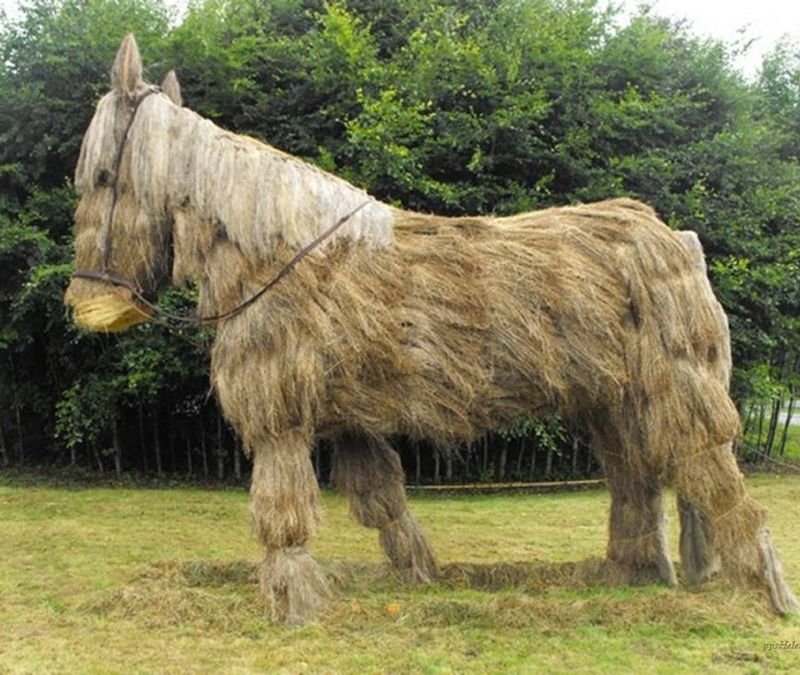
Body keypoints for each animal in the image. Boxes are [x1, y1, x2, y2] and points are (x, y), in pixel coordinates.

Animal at [65, 35, 797, 625]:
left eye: (101, 175)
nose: (86, 303)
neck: (274, 251)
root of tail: (676, 238)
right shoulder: (348, 419)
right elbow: (382, 500)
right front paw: (420, 575)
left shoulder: (279, 418)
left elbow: (283, 513)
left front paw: (291, 601)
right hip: (613, 403)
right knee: (637, 482)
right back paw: (630, 575)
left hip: (674, 390)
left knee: (715, 480)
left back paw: (766, 593)